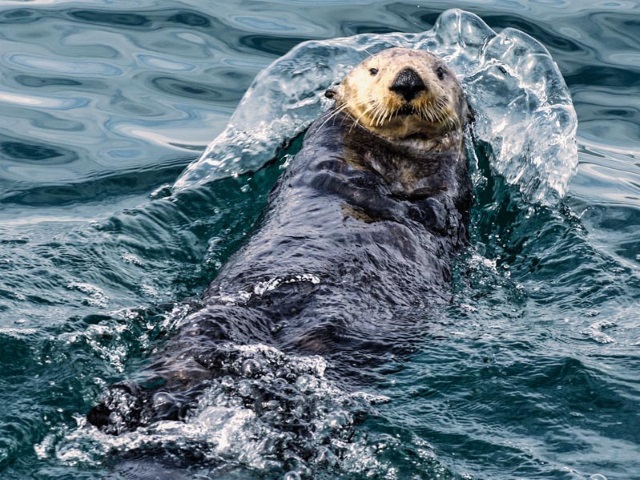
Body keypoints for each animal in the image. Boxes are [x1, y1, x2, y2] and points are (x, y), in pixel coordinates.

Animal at [87, 47, 472, 436]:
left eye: (439, 71)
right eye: (374, 70)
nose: (407, 80)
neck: (395, 162)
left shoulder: (449, 183)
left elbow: (435, 209)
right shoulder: (329, 151)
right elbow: (344, 180)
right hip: (213, 324)